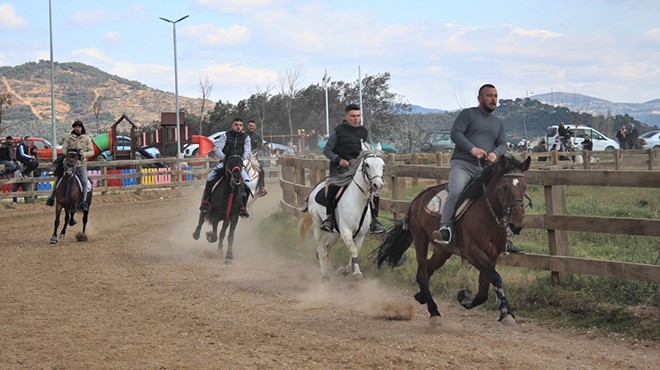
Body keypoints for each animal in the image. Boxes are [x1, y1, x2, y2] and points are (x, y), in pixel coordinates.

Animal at [300, 145, 386, 280]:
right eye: (366, 164)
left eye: (383, 166)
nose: (378, 185)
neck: (357, 200)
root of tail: (316, 188)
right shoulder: (346, 232)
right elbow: (353, 250)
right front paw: (357, 273)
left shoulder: (360, 234)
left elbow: (356, 251)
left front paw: (347, 270)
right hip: (317, 223)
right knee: (319, 247)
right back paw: (324, 274)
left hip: (336, 232)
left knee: (327, 247)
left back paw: (328, 270)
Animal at [374, 155, 532, 324]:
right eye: (504, 187)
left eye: (524, 186)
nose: (517, 225)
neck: (486, 216)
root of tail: (418, 199)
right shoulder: (473, 253)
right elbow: (495, 277)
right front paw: (504, 311)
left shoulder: (492, 255)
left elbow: (484, 289)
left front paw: (468, 299)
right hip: (420, 238)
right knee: (423, 273)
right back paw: (434, 312)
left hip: (443, 251)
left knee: (427, 270)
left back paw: (421, 296)